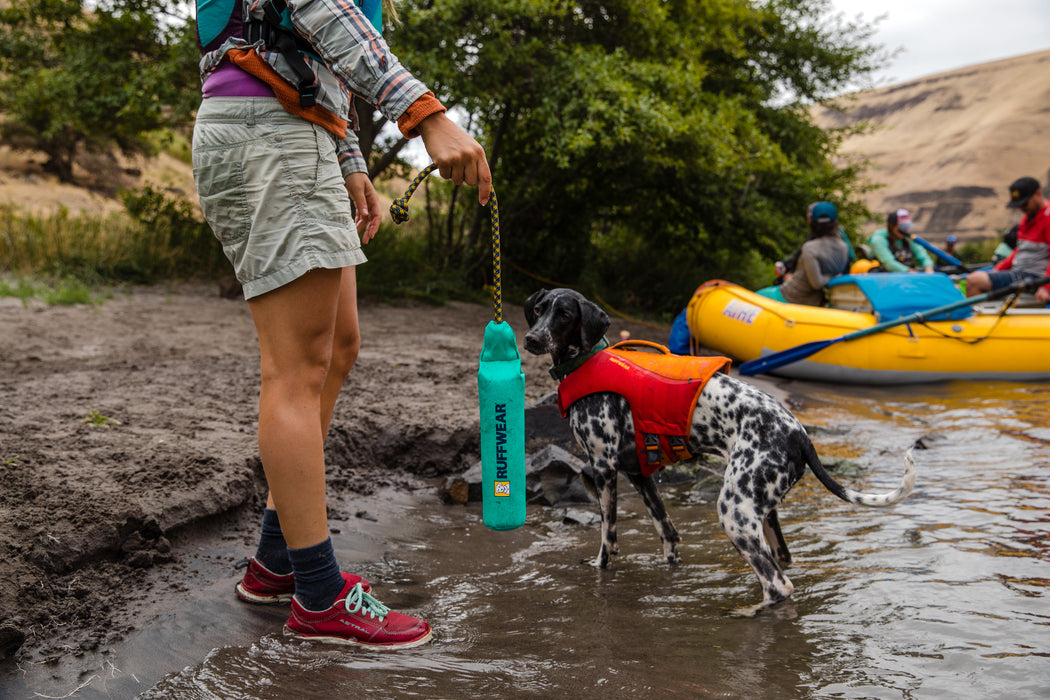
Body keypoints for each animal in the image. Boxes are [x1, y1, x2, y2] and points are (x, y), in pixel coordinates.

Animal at [520, 287, 915, 608]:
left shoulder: (603, 467)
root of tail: (798, 432)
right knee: (783, 563)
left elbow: (607, 535)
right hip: (762, 516)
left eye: (565, 315)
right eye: (539, 309)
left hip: (733, 512)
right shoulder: (639, 474)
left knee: (778, 585)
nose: (531, 339)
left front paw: (600, 567)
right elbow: (668, 532)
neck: (585, 362)